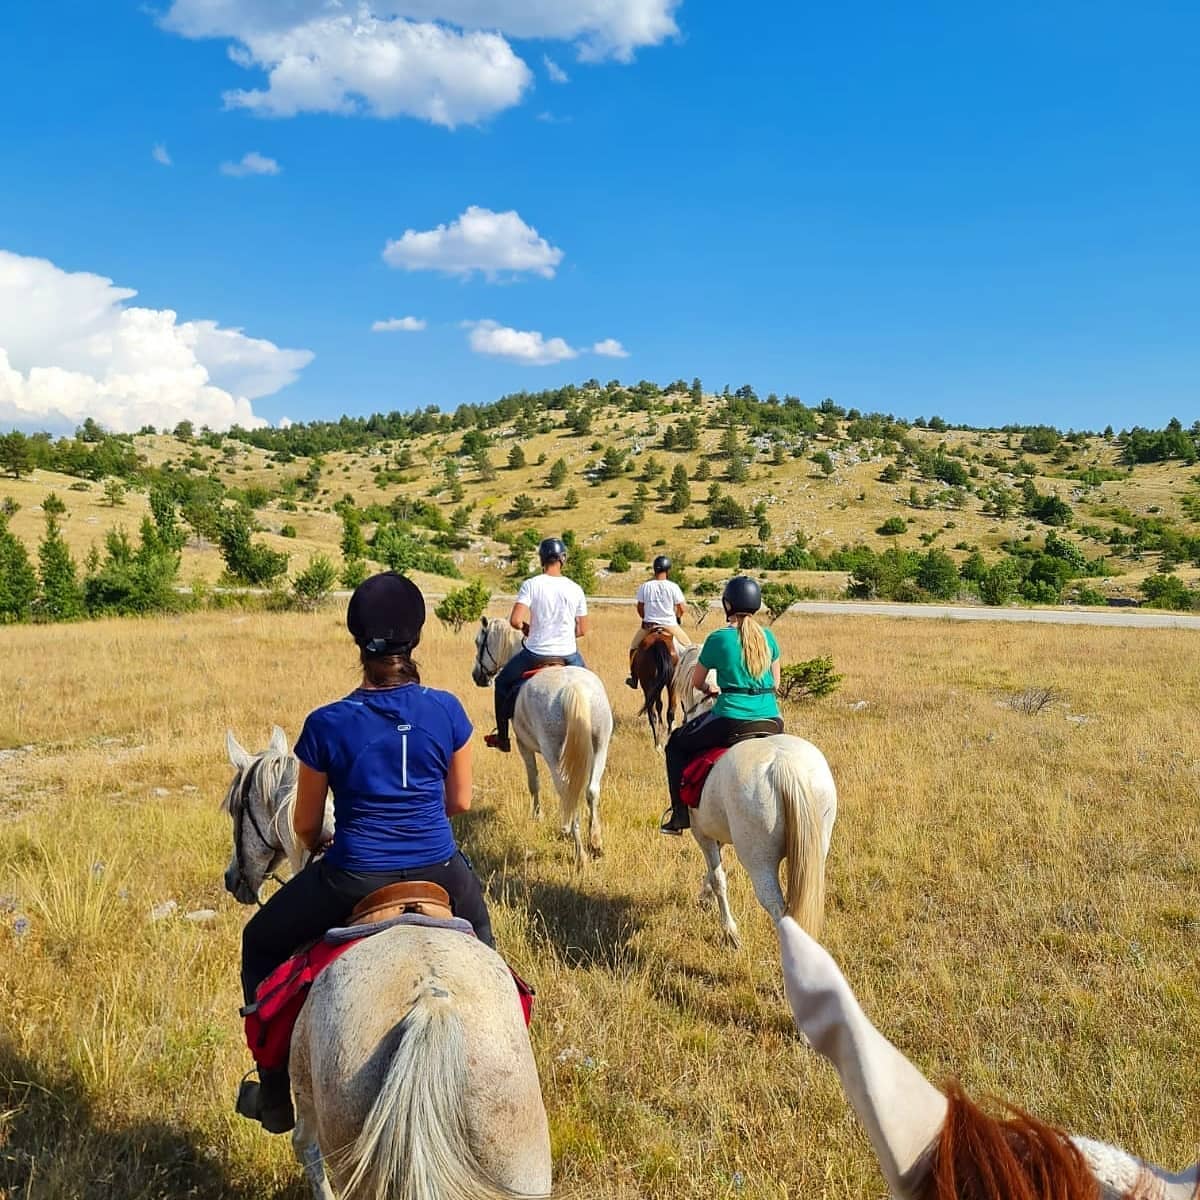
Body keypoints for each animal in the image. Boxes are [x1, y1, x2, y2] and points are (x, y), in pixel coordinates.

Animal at [472, 617, 613, 869]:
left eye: (479, 643)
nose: (477, 676)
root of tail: (573, 688)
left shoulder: (523, 746)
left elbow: (533, 782)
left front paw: (537, 816)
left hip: (553, 752)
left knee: (567, 792)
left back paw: (579, 852)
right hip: (600, 745)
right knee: (591, 791)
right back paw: (595, 843)